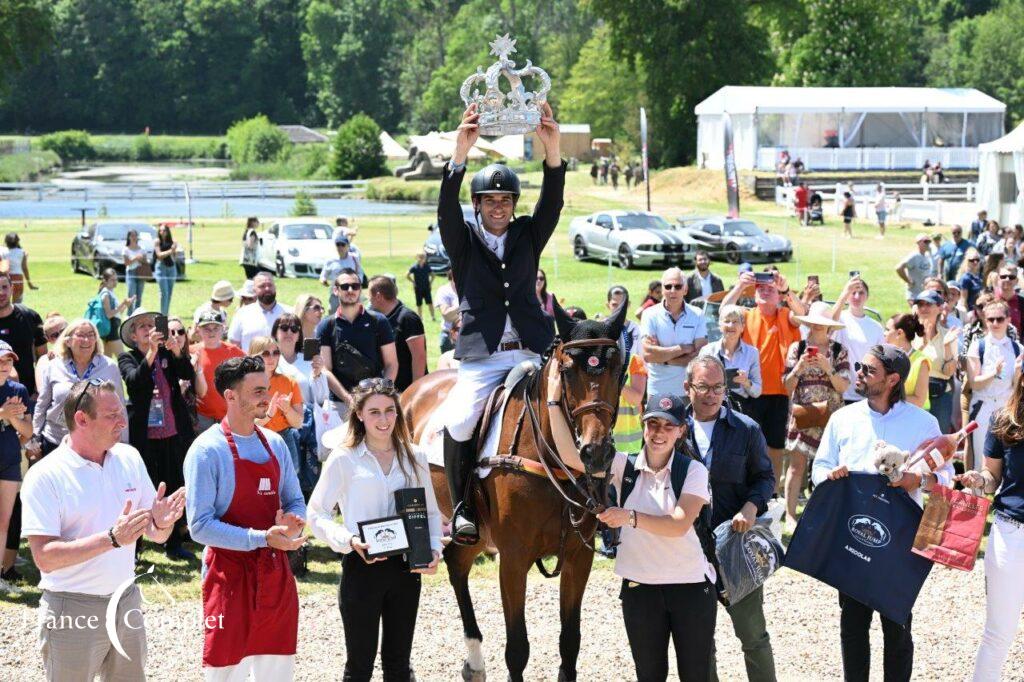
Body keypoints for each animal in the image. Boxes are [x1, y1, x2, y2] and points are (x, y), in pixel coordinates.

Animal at [397, 303, 622, 679]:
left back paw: (473, 662)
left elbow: (570, 641)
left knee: (457, 564)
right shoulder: (514, 559)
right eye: (567, 370)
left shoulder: (579, 557)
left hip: (478, 533)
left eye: (619, 370)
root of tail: (412, 389)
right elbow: (517, 649)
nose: (596, 452)